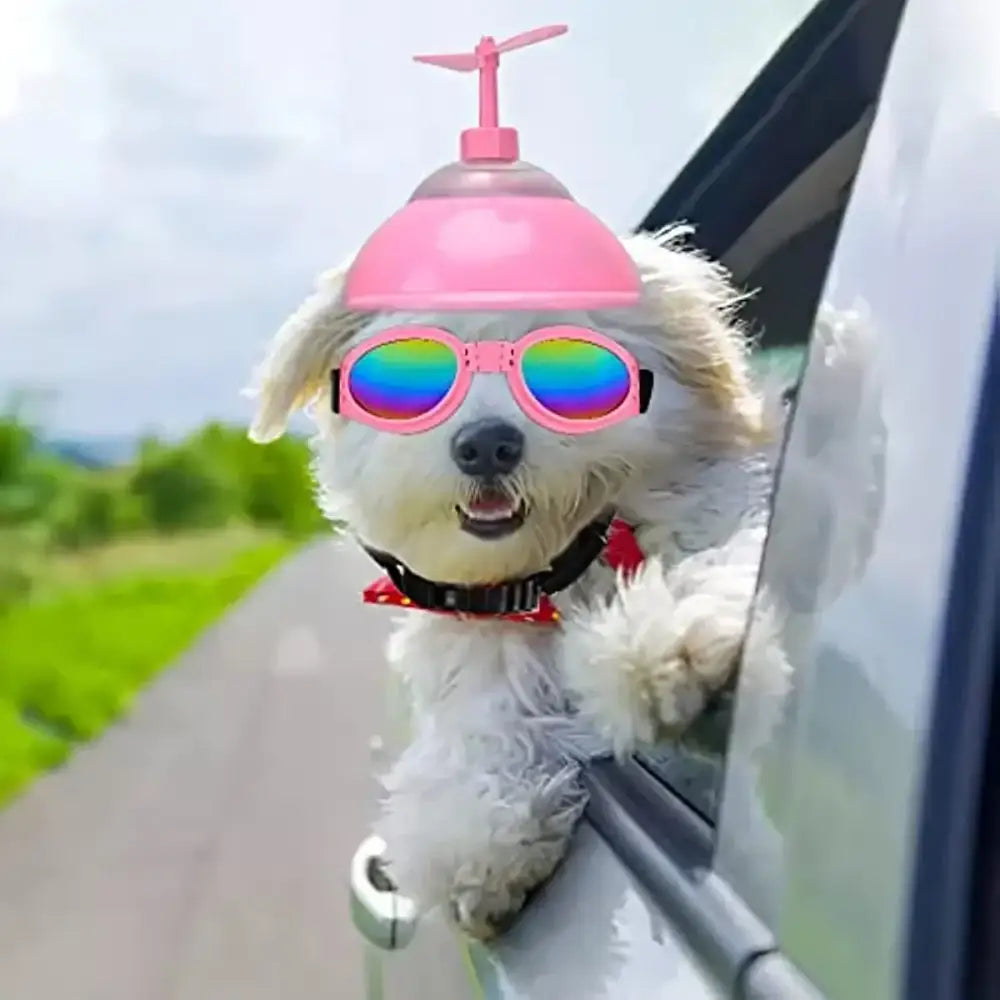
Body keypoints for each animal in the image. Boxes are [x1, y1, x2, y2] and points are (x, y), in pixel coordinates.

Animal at [248, 225, 796, 936]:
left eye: (565, 361)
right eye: (415, 369)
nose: (486, 445)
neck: (556, 575)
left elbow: (732, 555)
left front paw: (665, 643)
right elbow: (479, 731)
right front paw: (478, 828)